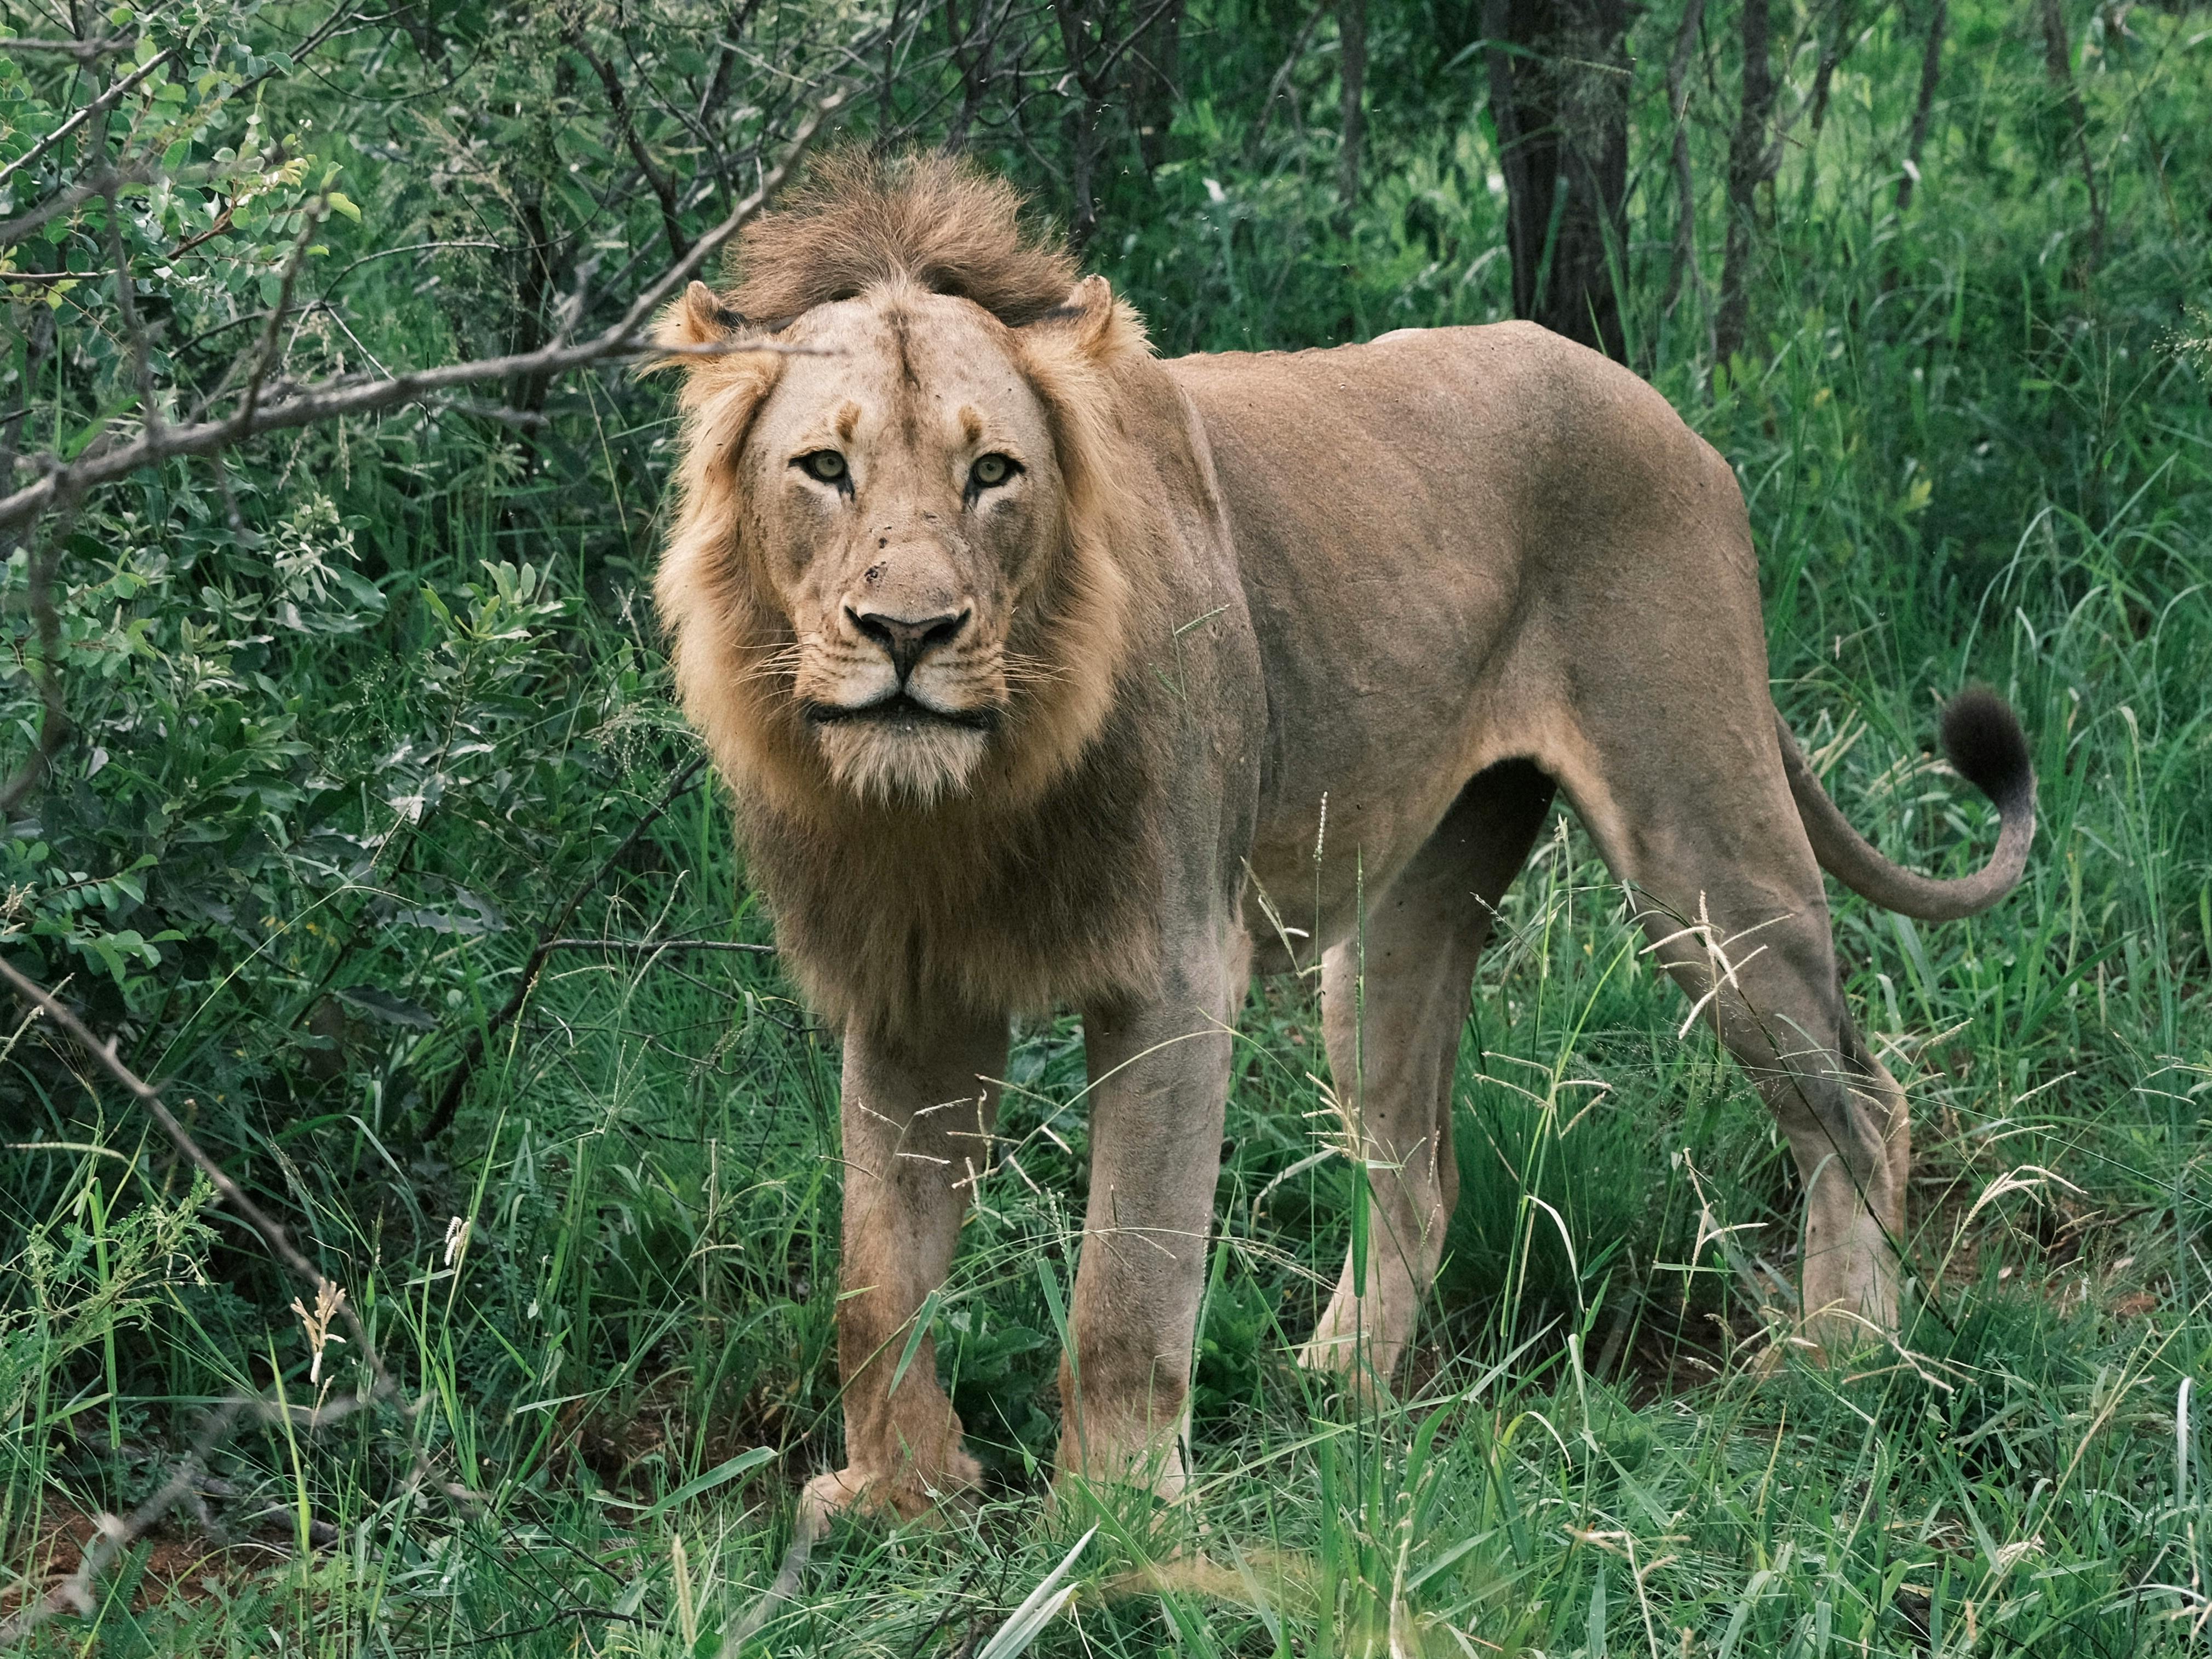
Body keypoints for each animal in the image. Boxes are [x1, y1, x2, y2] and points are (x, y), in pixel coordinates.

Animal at [651, 152, 2035, 1525]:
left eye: (993, 472)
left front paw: (1114, 1520)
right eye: (822, 469)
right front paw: (896, 1491)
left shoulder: (1174, 971)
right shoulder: (903, 991)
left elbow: (1126, 1283)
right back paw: (1337, 1383)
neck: (962, 800)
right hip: (1395, 927)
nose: (908, 632)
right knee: (1417, 1165)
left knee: (1861, 1103)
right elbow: (875, 1276)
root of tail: (1670, 417)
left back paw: (1846, 1358)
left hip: (1702, 842)